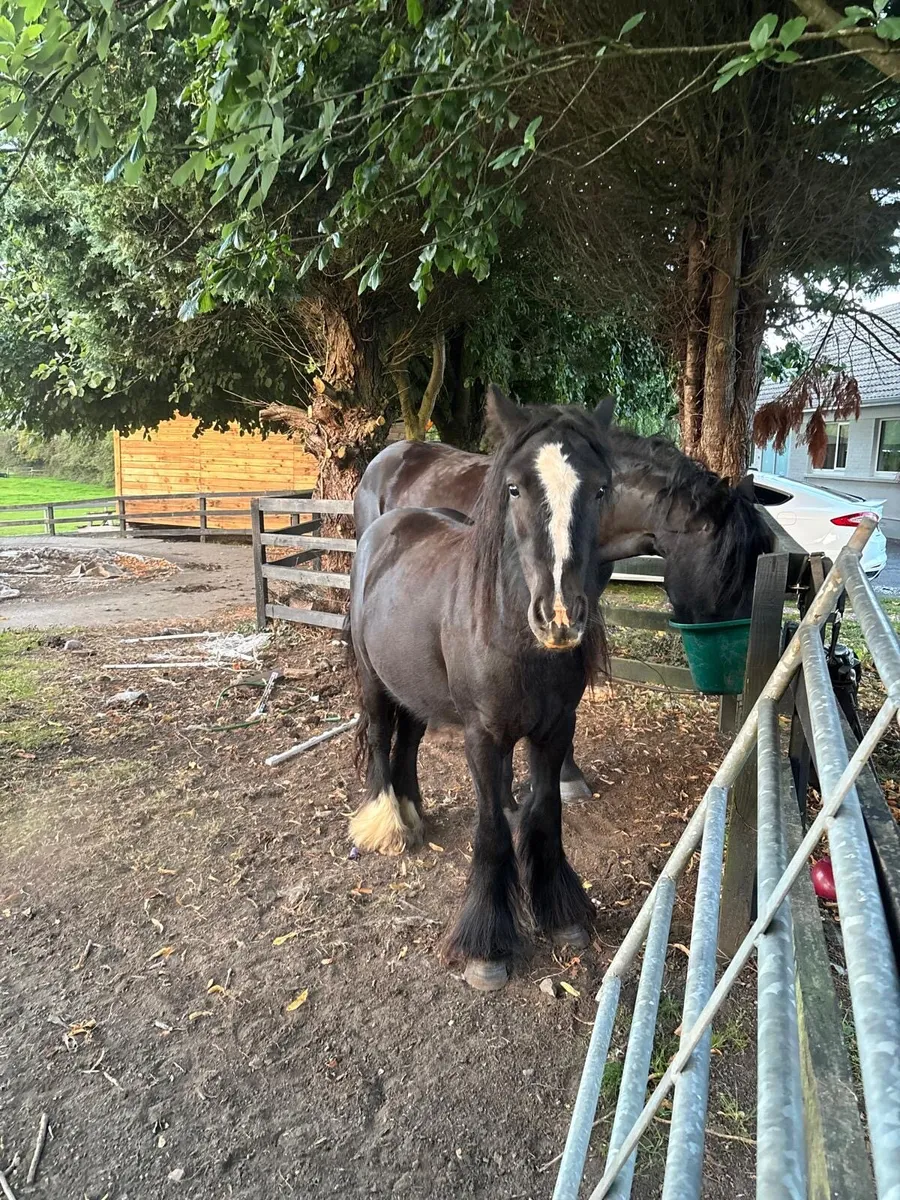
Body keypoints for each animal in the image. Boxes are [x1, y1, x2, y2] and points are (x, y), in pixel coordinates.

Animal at [347, 388, 615, 990]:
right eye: (514, 487)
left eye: (600, 488)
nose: (559, 616)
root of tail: (385, 527)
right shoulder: (484, 739)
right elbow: (492, 830)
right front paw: (485, 950)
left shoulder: (555, 731)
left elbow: (544, 812)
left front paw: (561, 915)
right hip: (374, 680)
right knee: (378, 738)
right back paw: (387, 823)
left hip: (415, 689)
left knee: (408, 741)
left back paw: (413, 812)